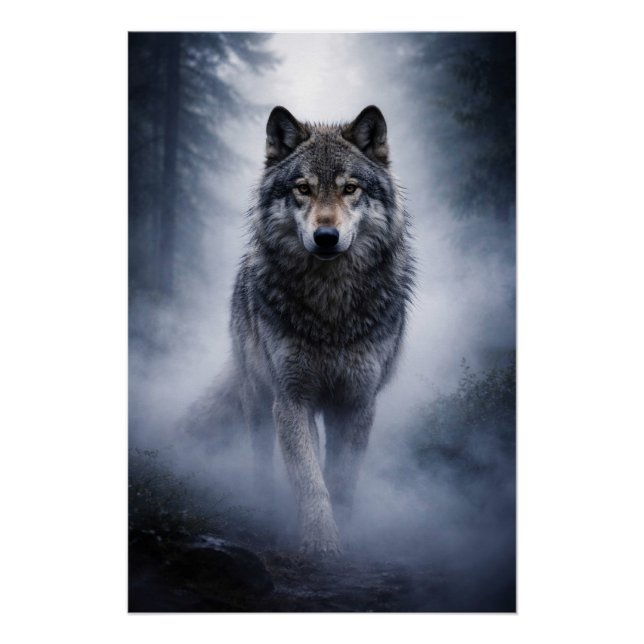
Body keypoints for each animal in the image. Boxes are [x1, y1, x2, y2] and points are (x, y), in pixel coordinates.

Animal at [188, 105, 414, 556]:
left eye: (349, 188)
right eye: (304, 189)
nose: (325, 236)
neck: (331, 308)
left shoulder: (357, 402)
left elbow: (341, 478)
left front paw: (345, 534)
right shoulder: (292, 398)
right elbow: (309, 479)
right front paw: (320, 542)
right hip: (257, 398)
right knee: (260, 457)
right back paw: (262, 508)